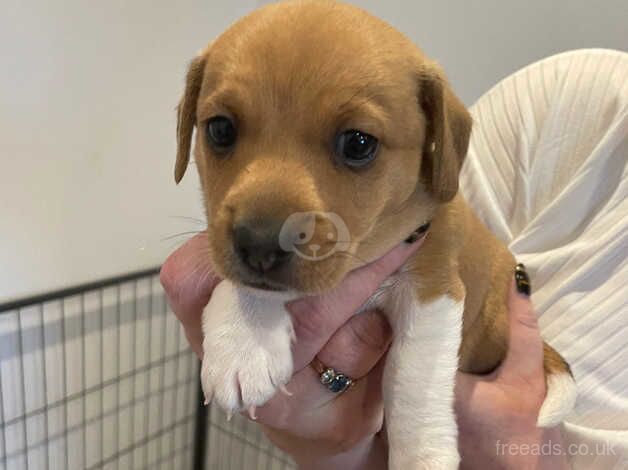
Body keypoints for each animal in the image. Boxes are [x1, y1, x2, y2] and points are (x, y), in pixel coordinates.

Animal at [172, 1, 576, 468]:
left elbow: (411, 383)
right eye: (220, 129)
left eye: (358, 143)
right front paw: (243, 340)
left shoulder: (432, 288)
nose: (259, 243)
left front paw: (423, 457)